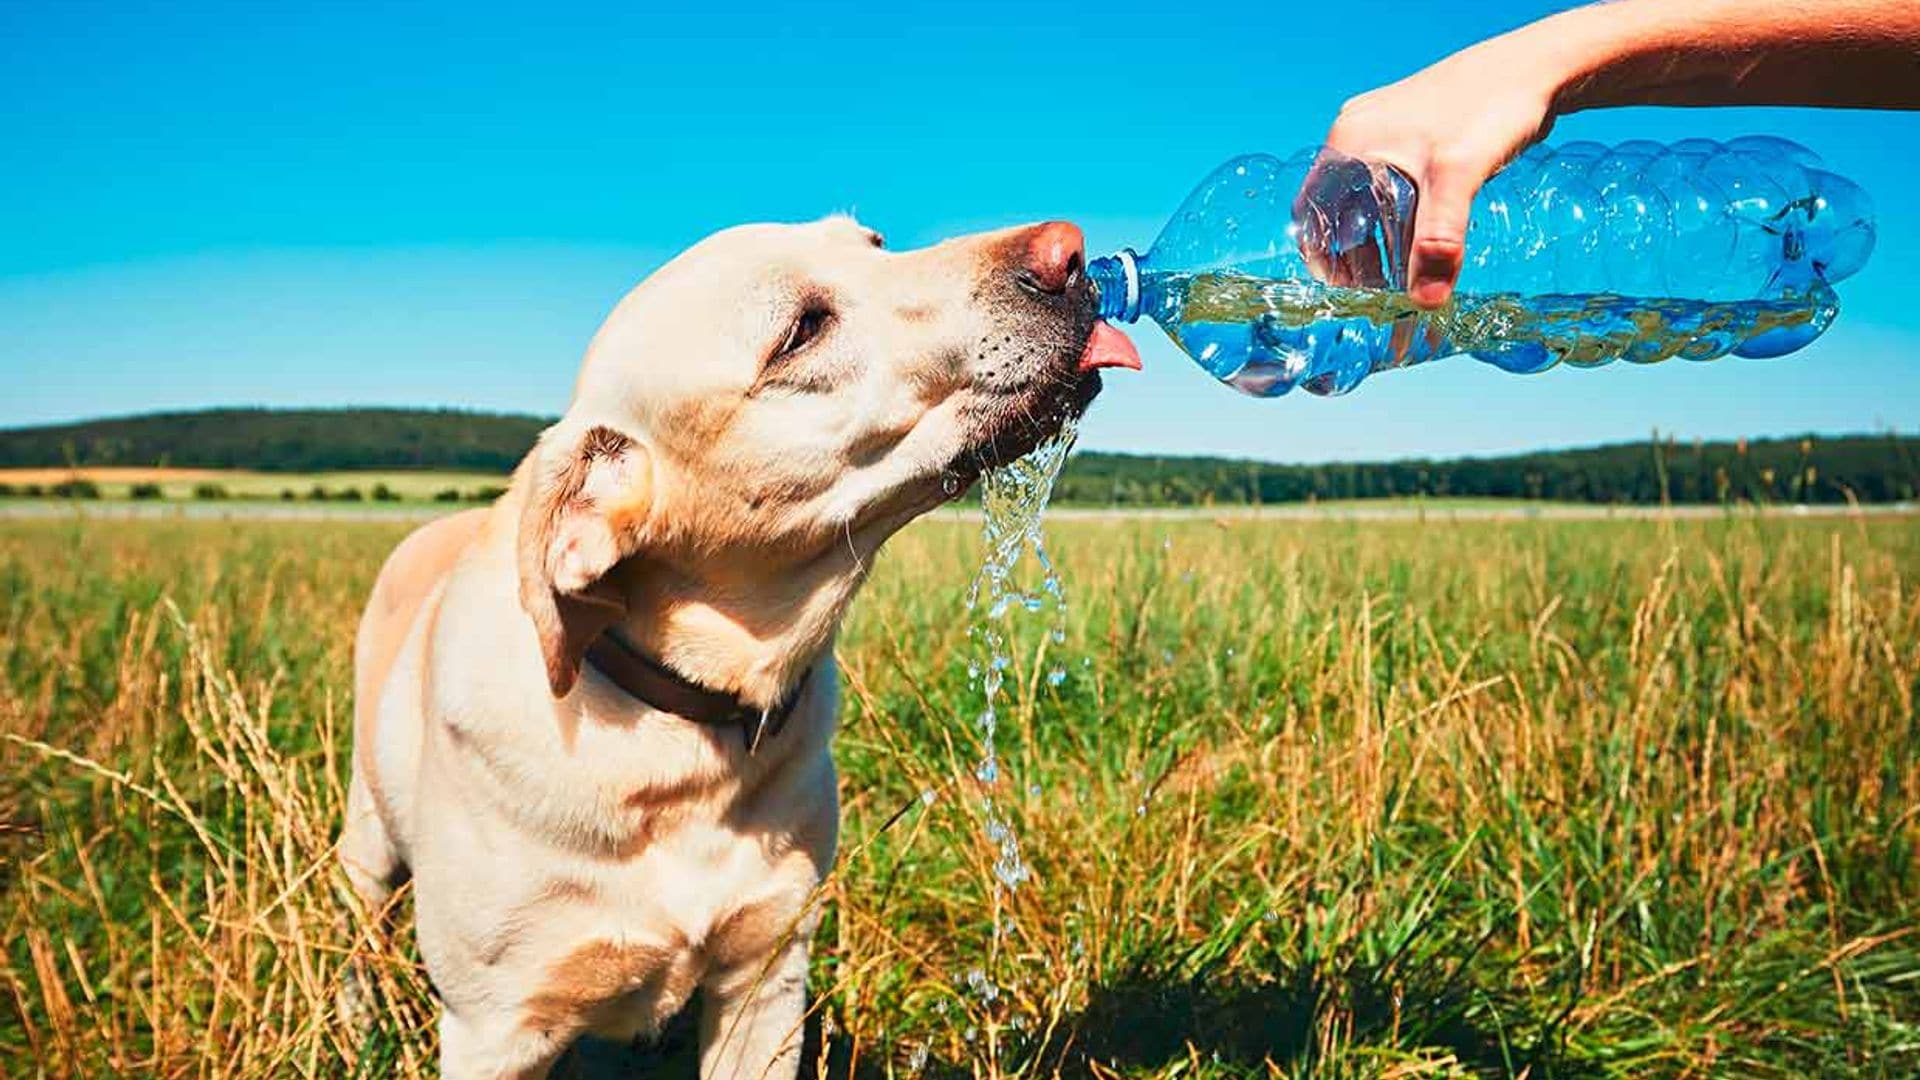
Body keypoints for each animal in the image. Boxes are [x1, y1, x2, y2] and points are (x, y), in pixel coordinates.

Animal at [341, 214, 1136, 1068]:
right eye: (801, 331)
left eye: (876, 242)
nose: (1069, 251)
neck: (681, 734)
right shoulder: (495, 1030)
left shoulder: (767, 978)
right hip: (366, 839)